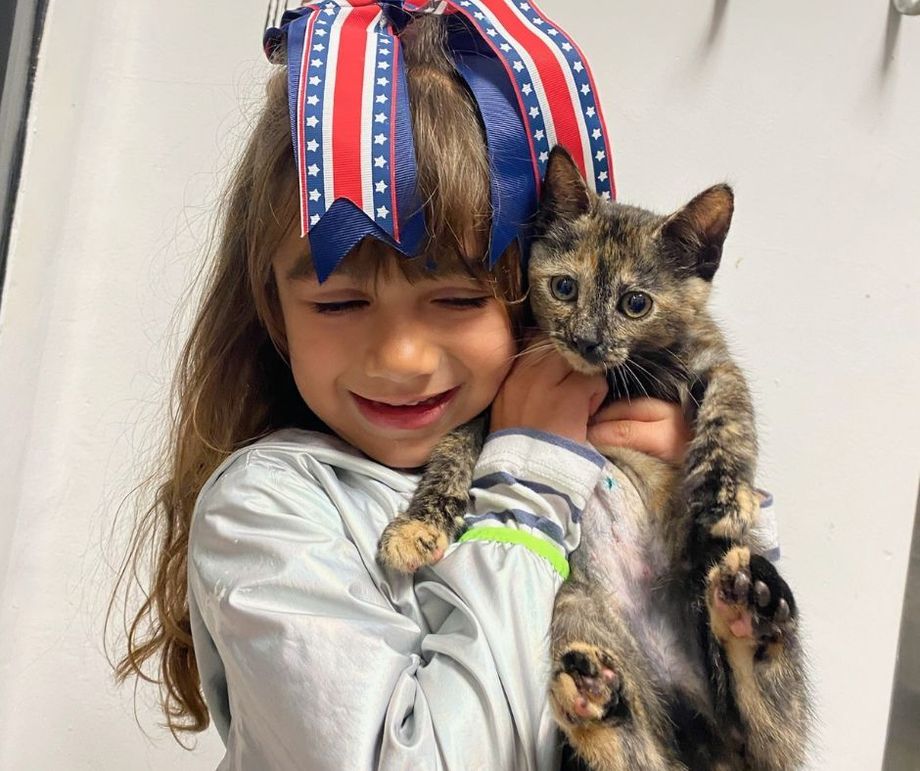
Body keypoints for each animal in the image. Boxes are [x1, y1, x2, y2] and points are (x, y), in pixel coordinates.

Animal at [378, 148, 808, 768]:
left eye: (636, 303)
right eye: (563, 286)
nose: (586, 340)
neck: (612, 379)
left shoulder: (710, 354)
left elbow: (731, 407)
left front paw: (726, 492)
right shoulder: (497, 392)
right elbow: (455, 442)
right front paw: (419, 524)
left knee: (768, 728)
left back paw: (754, 610)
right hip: (578, 606)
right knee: (640, 753)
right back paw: (600, 701)